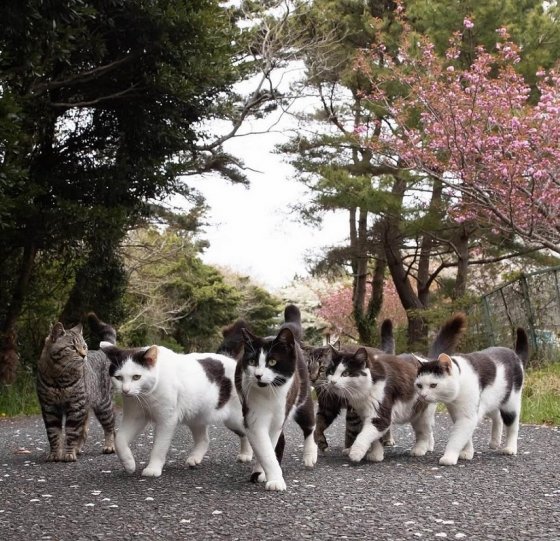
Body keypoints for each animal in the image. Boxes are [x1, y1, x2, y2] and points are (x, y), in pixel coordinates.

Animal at [36, 312, 116, 460]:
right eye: (72, 347)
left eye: (84, 346)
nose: (84, 355)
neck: (60, 377)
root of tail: (100, 351)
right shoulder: (49, 408)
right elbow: (53, 434)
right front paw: (55, 454)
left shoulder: (76, 406)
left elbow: (71, 432)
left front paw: (68, 454)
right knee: (84, 431)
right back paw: (78, 449)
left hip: (103, 405)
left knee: (110, 427)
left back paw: (109, 446)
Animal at [101, 342, 253, 476]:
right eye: (118, 377)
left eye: (136, 377)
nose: (125, 390)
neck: (146, 396)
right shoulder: (135, 417)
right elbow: (119, 439)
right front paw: (129, 464)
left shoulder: (166, 420)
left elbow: (159, 447)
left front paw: (153, 469)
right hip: (197, 416)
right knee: (205, 440)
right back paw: (195, 458)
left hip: (234, 419)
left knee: (246, 432)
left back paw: (247, 454)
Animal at [320, 314, 468, 462]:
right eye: (331, 371)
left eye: (345, 373)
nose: (332, 382)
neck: (364, 392)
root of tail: (428, 361)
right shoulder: (365, 413)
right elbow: (375, 439)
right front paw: (376, 455)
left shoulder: (380, 413)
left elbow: (365, 435)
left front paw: (356, 453)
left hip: (423, 413)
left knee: (424, 432)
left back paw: (420, 449)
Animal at [416, 324, 528, 464]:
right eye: (419, 385)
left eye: (433, 385)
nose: (423, 395)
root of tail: (516, 355)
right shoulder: (458, 414)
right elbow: (465, 437)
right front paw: (467, 452)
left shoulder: (467, 416)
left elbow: (457, 438)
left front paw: (449, 457)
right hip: (488, 402)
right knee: (496, 416)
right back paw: (495, 441)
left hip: (510, 404)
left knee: (512, 426)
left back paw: (510, 448)